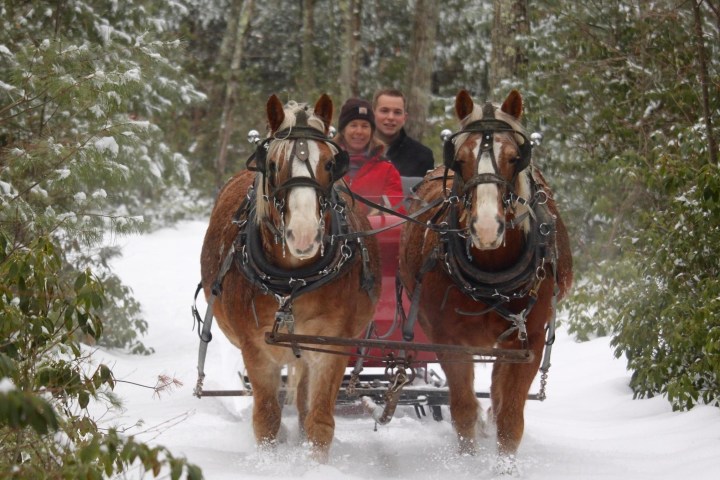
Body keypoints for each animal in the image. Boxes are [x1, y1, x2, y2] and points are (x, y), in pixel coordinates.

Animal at [200, 94, 380, 462]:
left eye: (330, 163)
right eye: (272, 164)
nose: (304, 234)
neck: (293, 282)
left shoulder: (329, 346)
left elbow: (319, 420)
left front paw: (314, 463)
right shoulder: (257, 348)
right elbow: (267, 418)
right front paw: (270, 461)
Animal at [398, 89, 573, 470]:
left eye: (514, 158)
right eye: (460, 158)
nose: (487, 228)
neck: (492, 275)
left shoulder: (528, 341)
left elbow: (510, 417)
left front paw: (504, 468)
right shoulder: (449, 342)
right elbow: (463, 409)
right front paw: (467, 463)